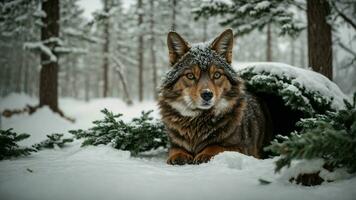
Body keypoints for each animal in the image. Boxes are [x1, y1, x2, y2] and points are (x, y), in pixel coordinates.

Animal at [159, 29, 272, 164]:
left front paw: (205, 153)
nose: (207, 94)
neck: (198, 120)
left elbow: (216, 146)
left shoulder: (243, 148)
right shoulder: (174, 143)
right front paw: (179, 155)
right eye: (190, 76)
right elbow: (175, 149)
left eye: (217, 75)